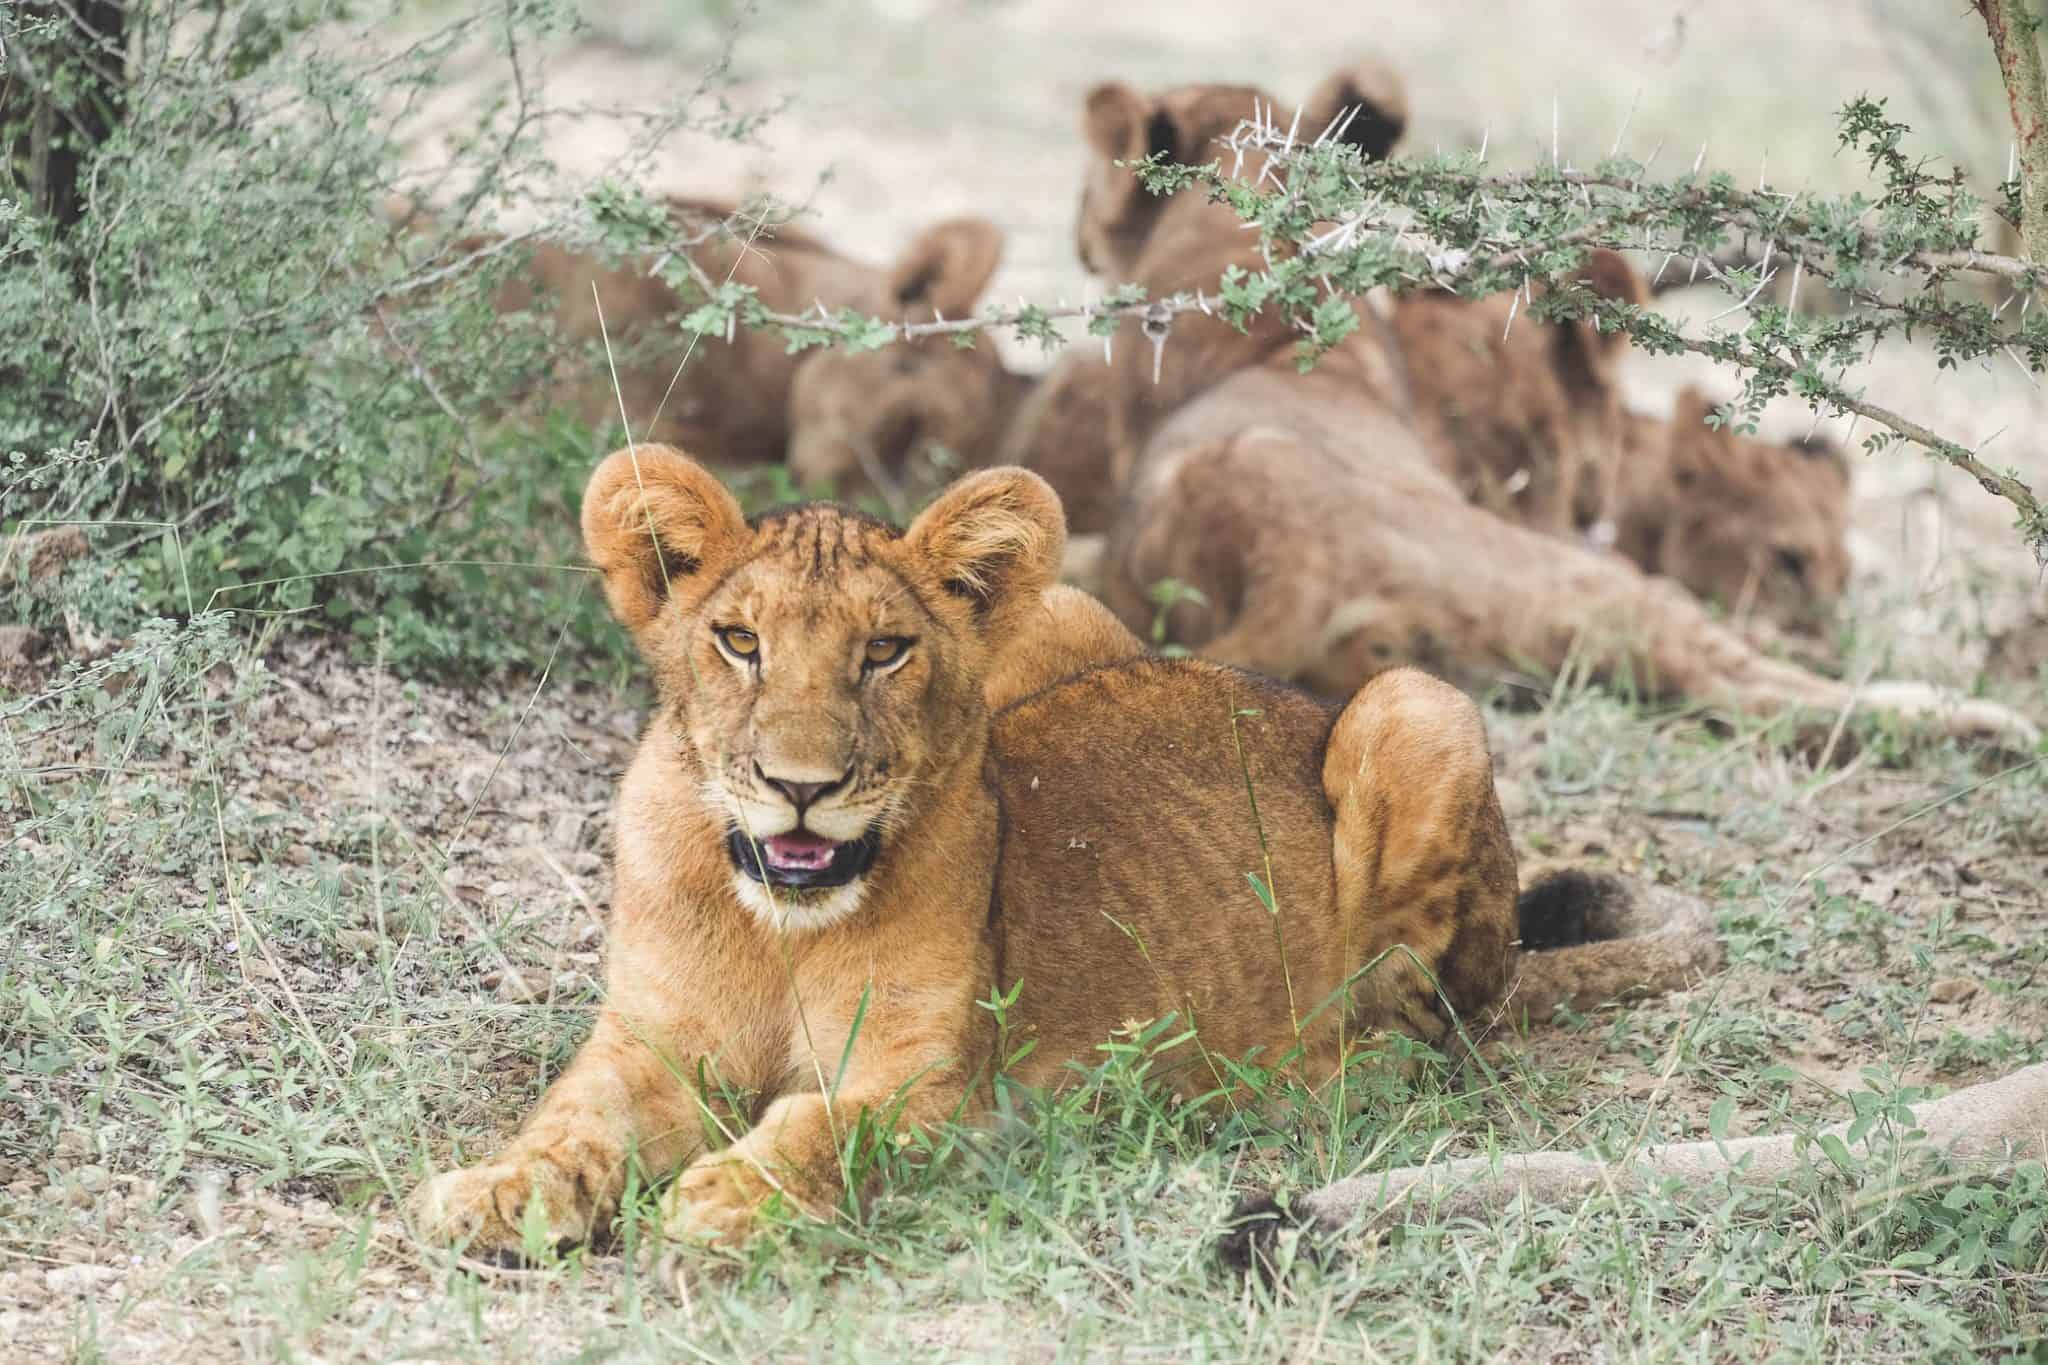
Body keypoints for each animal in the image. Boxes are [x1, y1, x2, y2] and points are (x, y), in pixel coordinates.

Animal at [407, 448, 1720, 1260]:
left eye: (884, 652)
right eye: (737, 641)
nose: (800, 790)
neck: (774, 926)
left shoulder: (936, 1086)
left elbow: (817, 1132)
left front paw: (726, 1198)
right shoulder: (649, 1046)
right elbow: (568, 1125)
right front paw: (494, 1195)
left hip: (1414, 705)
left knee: (1436, 1030)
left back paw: (1293, 1077)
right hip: (1065, 615)